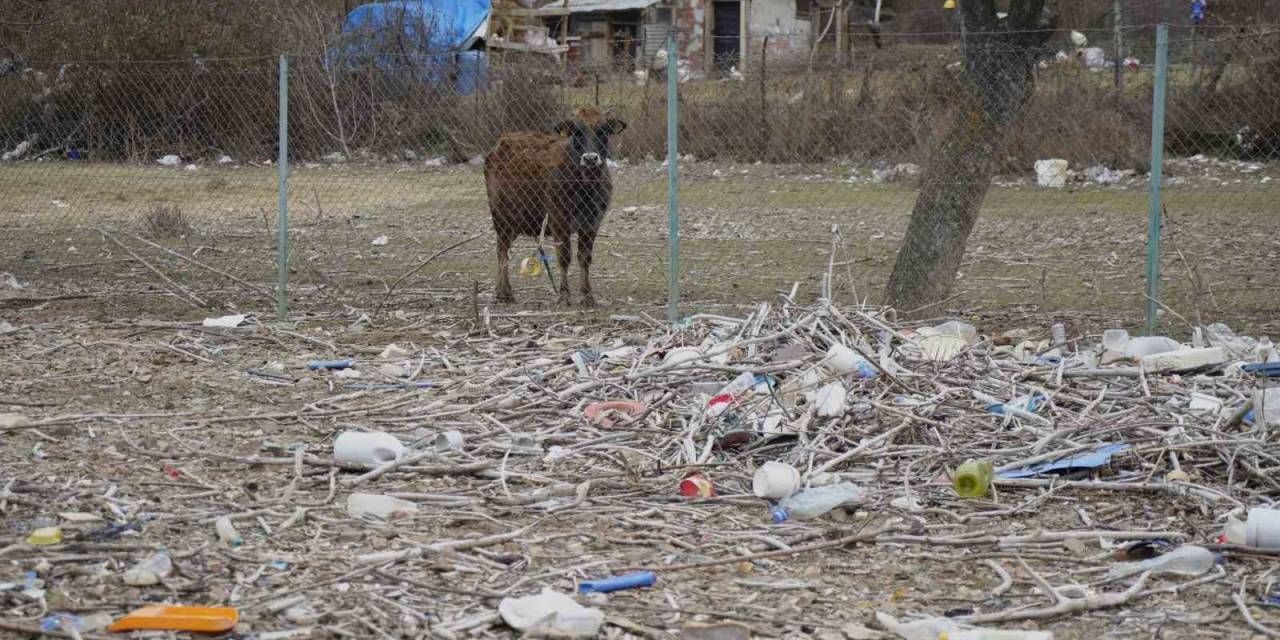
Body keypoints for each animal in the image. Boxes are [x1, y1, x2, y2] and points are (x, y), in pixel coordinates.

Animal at [481, 106, 627, 305]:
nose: (590, 158)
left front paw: (587, 295)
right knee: (502, 251)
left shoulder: (592, 224)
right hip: (500, 217)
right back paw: (506, 292)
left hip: (515, 221)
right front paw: (564, 295)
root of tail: (500, 143)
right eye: (576, 132)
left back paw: (500, 292)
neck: (585, 186)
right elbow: (564, 257)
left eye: (603, 130)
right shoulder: (559, 221)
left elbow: (585, 258)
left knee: (503, 249)